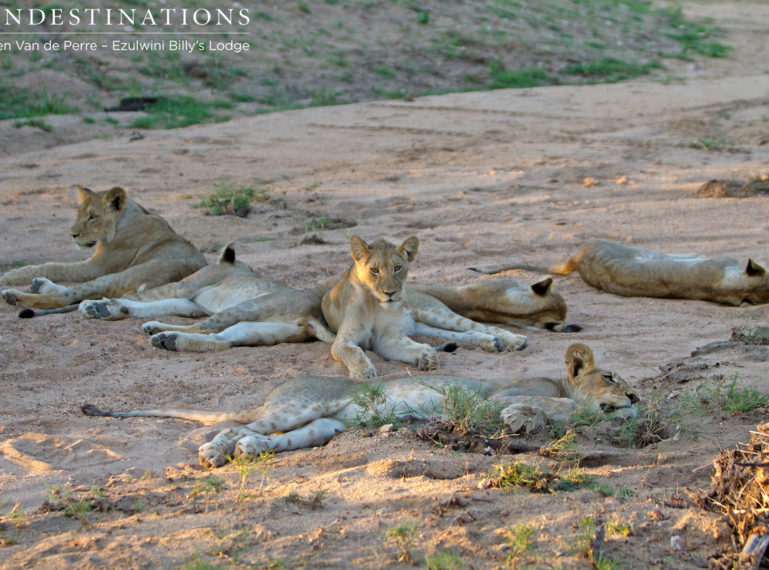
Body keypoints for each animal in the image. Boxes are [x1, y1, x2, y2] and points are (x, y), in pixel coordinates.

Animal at [0, 185, 207, 310]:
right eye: (79, 214)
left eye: (92, 217)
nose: (72, 234)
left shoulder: (97, 267)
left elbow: (56, 266)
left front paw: (10, 275)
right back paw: (39, 285)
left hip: (122, 275)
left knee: (66, 296)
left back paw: (13, 296)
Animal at [320, 235, 528, 378]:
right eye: (374, 270)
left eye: (397, 268)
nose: (390, 293)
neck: (375, 305)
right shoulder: (346, 341)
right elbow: (354, 351)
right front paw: (364, 372)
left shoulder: (387, 338)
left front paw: (426, 358)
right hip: (422, 325)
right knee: (465, 333)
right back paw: (490, 342)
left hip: (435, 313)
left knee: (481, 326)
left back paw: (515, 340)